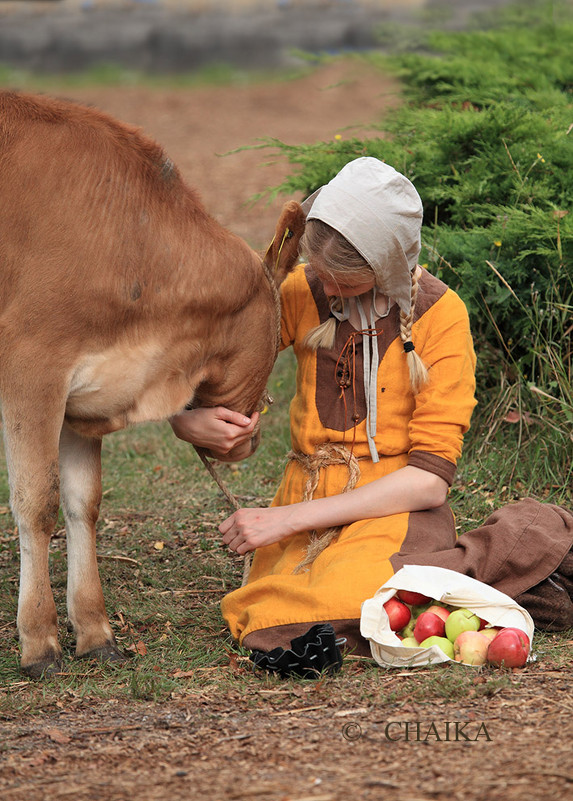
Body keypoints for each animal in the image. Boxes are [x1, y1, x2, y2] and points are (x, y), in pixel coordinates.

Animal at [0, 90, 304, 680]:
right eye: (282, 340)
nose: (249, 438)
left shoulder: (86, 390)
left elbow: (83, 501)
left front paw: (95, 633)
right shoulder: (31, 366)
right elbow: (37, 502)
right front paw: (39, 643)